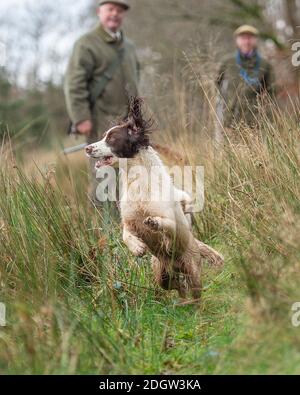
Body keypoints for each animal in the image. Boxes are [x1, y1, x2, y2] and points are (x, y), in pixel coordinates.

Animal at [85, 97, 224, 302]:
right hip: (161, 274)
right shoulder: (129, 220)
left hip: (193, 270)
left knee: (194, 290)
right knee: (176, 285)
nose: (87, 148)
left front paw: (155, 224)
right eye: (103, 137)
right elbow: (125, 235)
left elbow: (167, 224)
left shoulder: (173, 220)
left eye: (111, 138)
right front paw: (137, 248)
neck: (138, 182)